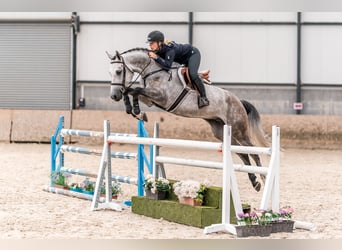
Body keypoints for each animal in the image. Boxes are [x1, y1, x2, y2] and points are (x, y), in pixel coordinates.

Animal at [108, 47, 268, 191]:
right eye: (110, 72)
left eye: (118, 71)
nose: (114, 96)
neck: (154, 71)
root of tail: (238, 101)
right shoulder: (150, 100)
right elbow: (132, 91)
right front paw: (135, 111)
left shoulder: (162, 97)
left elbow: (135, 90)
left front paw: (135, 110)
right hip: (221, 130)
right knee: (242, 153)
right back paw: (254, 182)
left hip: (238, 130)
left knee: (253, 152)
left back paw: (263, 178)